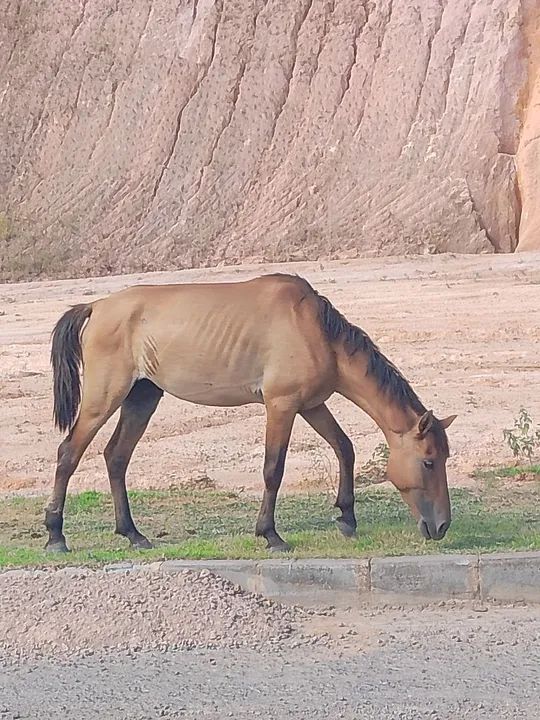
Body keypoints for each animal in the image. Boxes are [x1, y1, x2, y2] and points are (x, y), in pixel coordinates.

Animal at [46, 273, 456, 553]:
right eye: (429, 461)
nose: (441, 527)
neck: (315, 330)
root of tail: (96, 307)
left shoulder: (312, 405)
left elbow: (344, 448)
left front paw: (347, 518)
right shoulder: (281, 405)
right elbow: (273, 469)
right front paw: (271, 534)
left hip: (142, 397)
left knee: (116, 457)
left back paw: (133, 534)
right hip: (104, 398)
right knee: (68, 454)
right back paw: (56, 536)